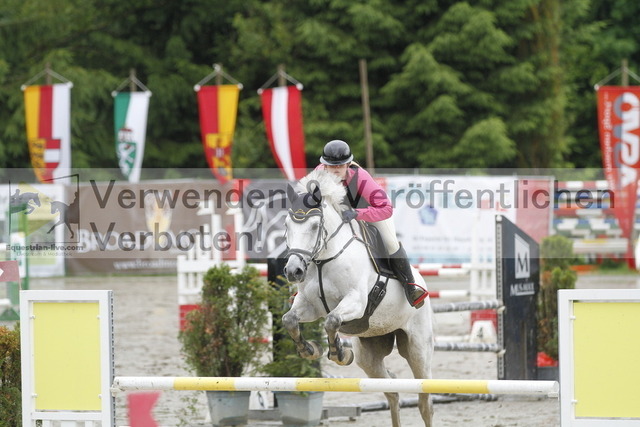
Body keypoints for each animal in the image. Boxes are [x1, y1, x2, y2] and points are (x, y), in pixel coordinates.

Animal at [282, 170, 434, 427]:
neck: (324, 259)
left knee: (425, 401)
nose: (294, 271)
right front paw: (310, 349)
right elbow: (289, 320)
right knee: (392, 389)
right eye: (287, 225)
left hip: (418, 349)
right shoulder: (309, 305)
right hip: (369, 354)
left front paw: (339, 354)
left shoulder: (356, 302)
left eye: (314, 226)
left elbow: (332, 320)